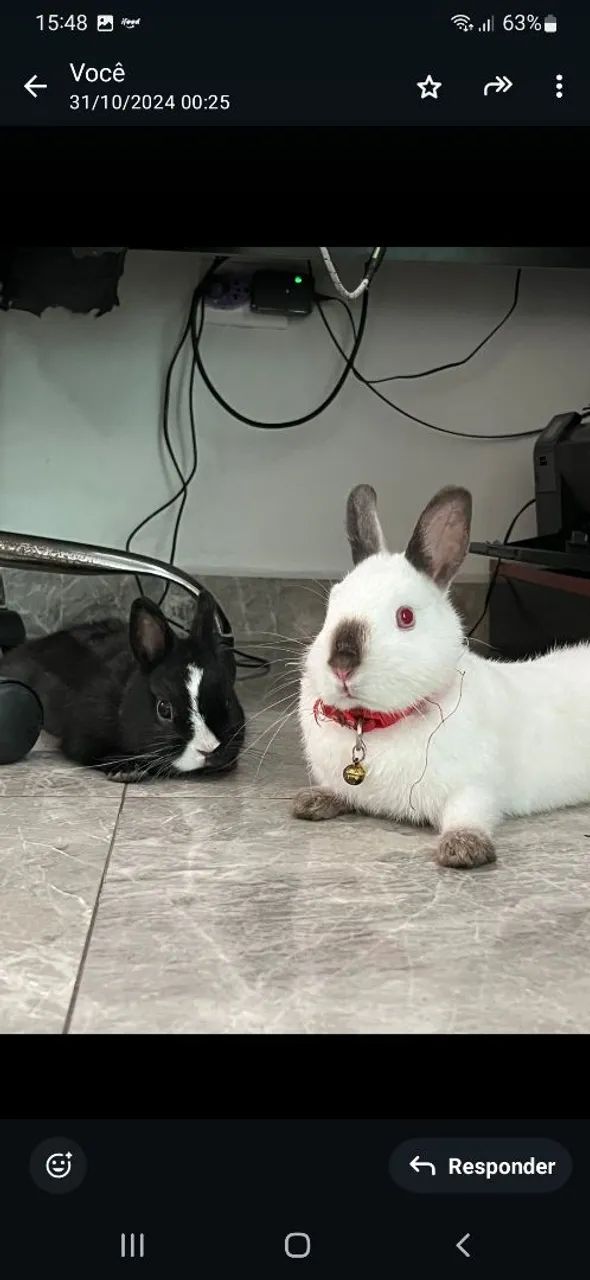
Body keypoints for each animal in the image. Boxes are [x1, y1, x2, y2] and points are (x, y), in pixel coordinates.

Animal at [294, 482, 590, 868]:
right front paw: (312, 801)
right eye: (332, 606)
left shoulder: (474, 788)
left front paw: (463, 847)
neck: (374, 725)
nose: (342, 663)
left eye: (405, 616)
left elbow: (468, 813)